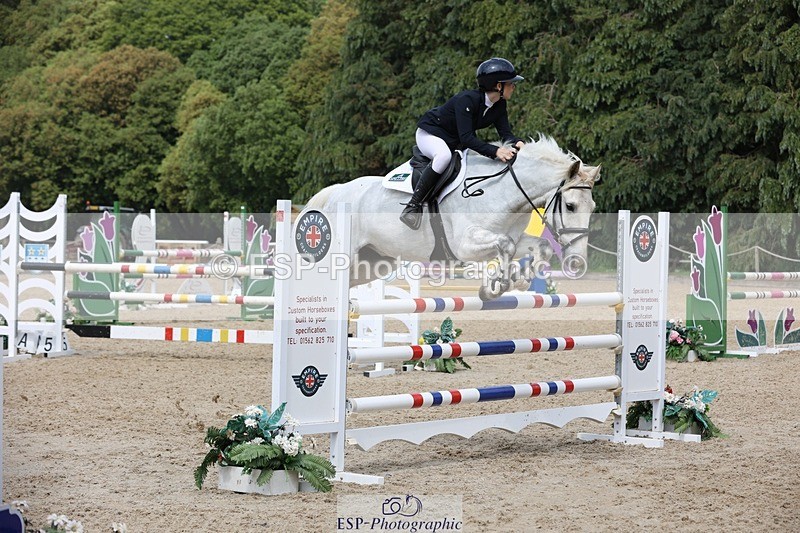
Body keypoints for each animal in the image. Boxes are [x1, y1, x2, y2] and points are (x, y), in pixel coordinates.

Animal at [307, 135, 600, 300]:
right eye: (571, 206)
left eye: (593, 207)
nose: (577, 263)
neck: (502, 190)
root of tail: (335, 193)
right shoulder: (465, 245)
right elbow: (505, 245)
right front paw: (498, 284)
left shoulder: (514, 238)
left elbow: (538, 246)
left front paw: (518, 279)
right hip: (344, 258)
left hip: (374, 261)